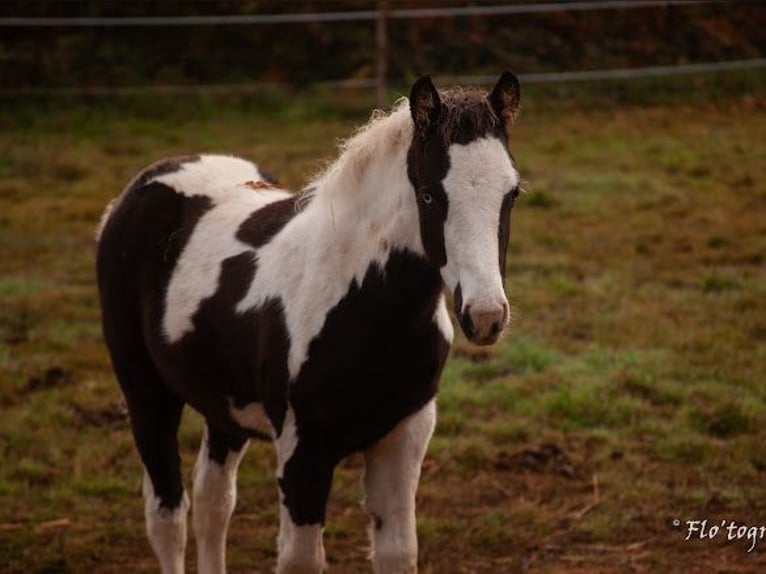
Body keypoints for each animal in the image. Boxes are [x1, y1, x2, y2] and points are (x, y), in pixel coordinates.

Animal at [96, 72, 524, 574]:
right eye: (429, 194)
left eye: (512, 193)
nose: (485, 316)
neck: (363, 306)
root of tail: (140, 186)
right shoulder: (303, 455)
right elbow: (301, 559)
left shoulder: (405, 438)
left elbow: (398, 553)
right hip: (145, 391)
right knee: (167, 512)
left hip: (223, 403)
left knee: (212, 502)